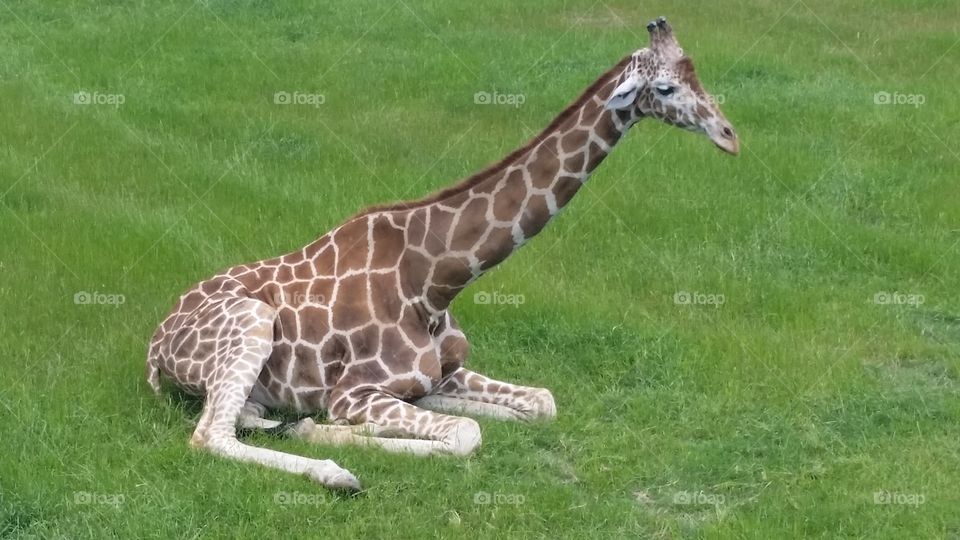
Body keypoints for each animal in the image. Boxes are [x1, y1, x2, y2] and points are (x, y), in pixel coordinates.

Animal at [147, 17, 738, 491]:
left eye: (697, 73)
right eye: (665, 87)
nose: (730, 137)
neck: (435, 279)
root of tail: (156, 347)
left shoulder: (442, 374)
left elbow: (540, 403)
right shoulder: (353, 394)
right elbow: (465, 432)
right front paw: (323, 433)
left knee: (237, 416)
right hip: (251, 320)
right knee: (209, 435)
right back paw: (334, 472)